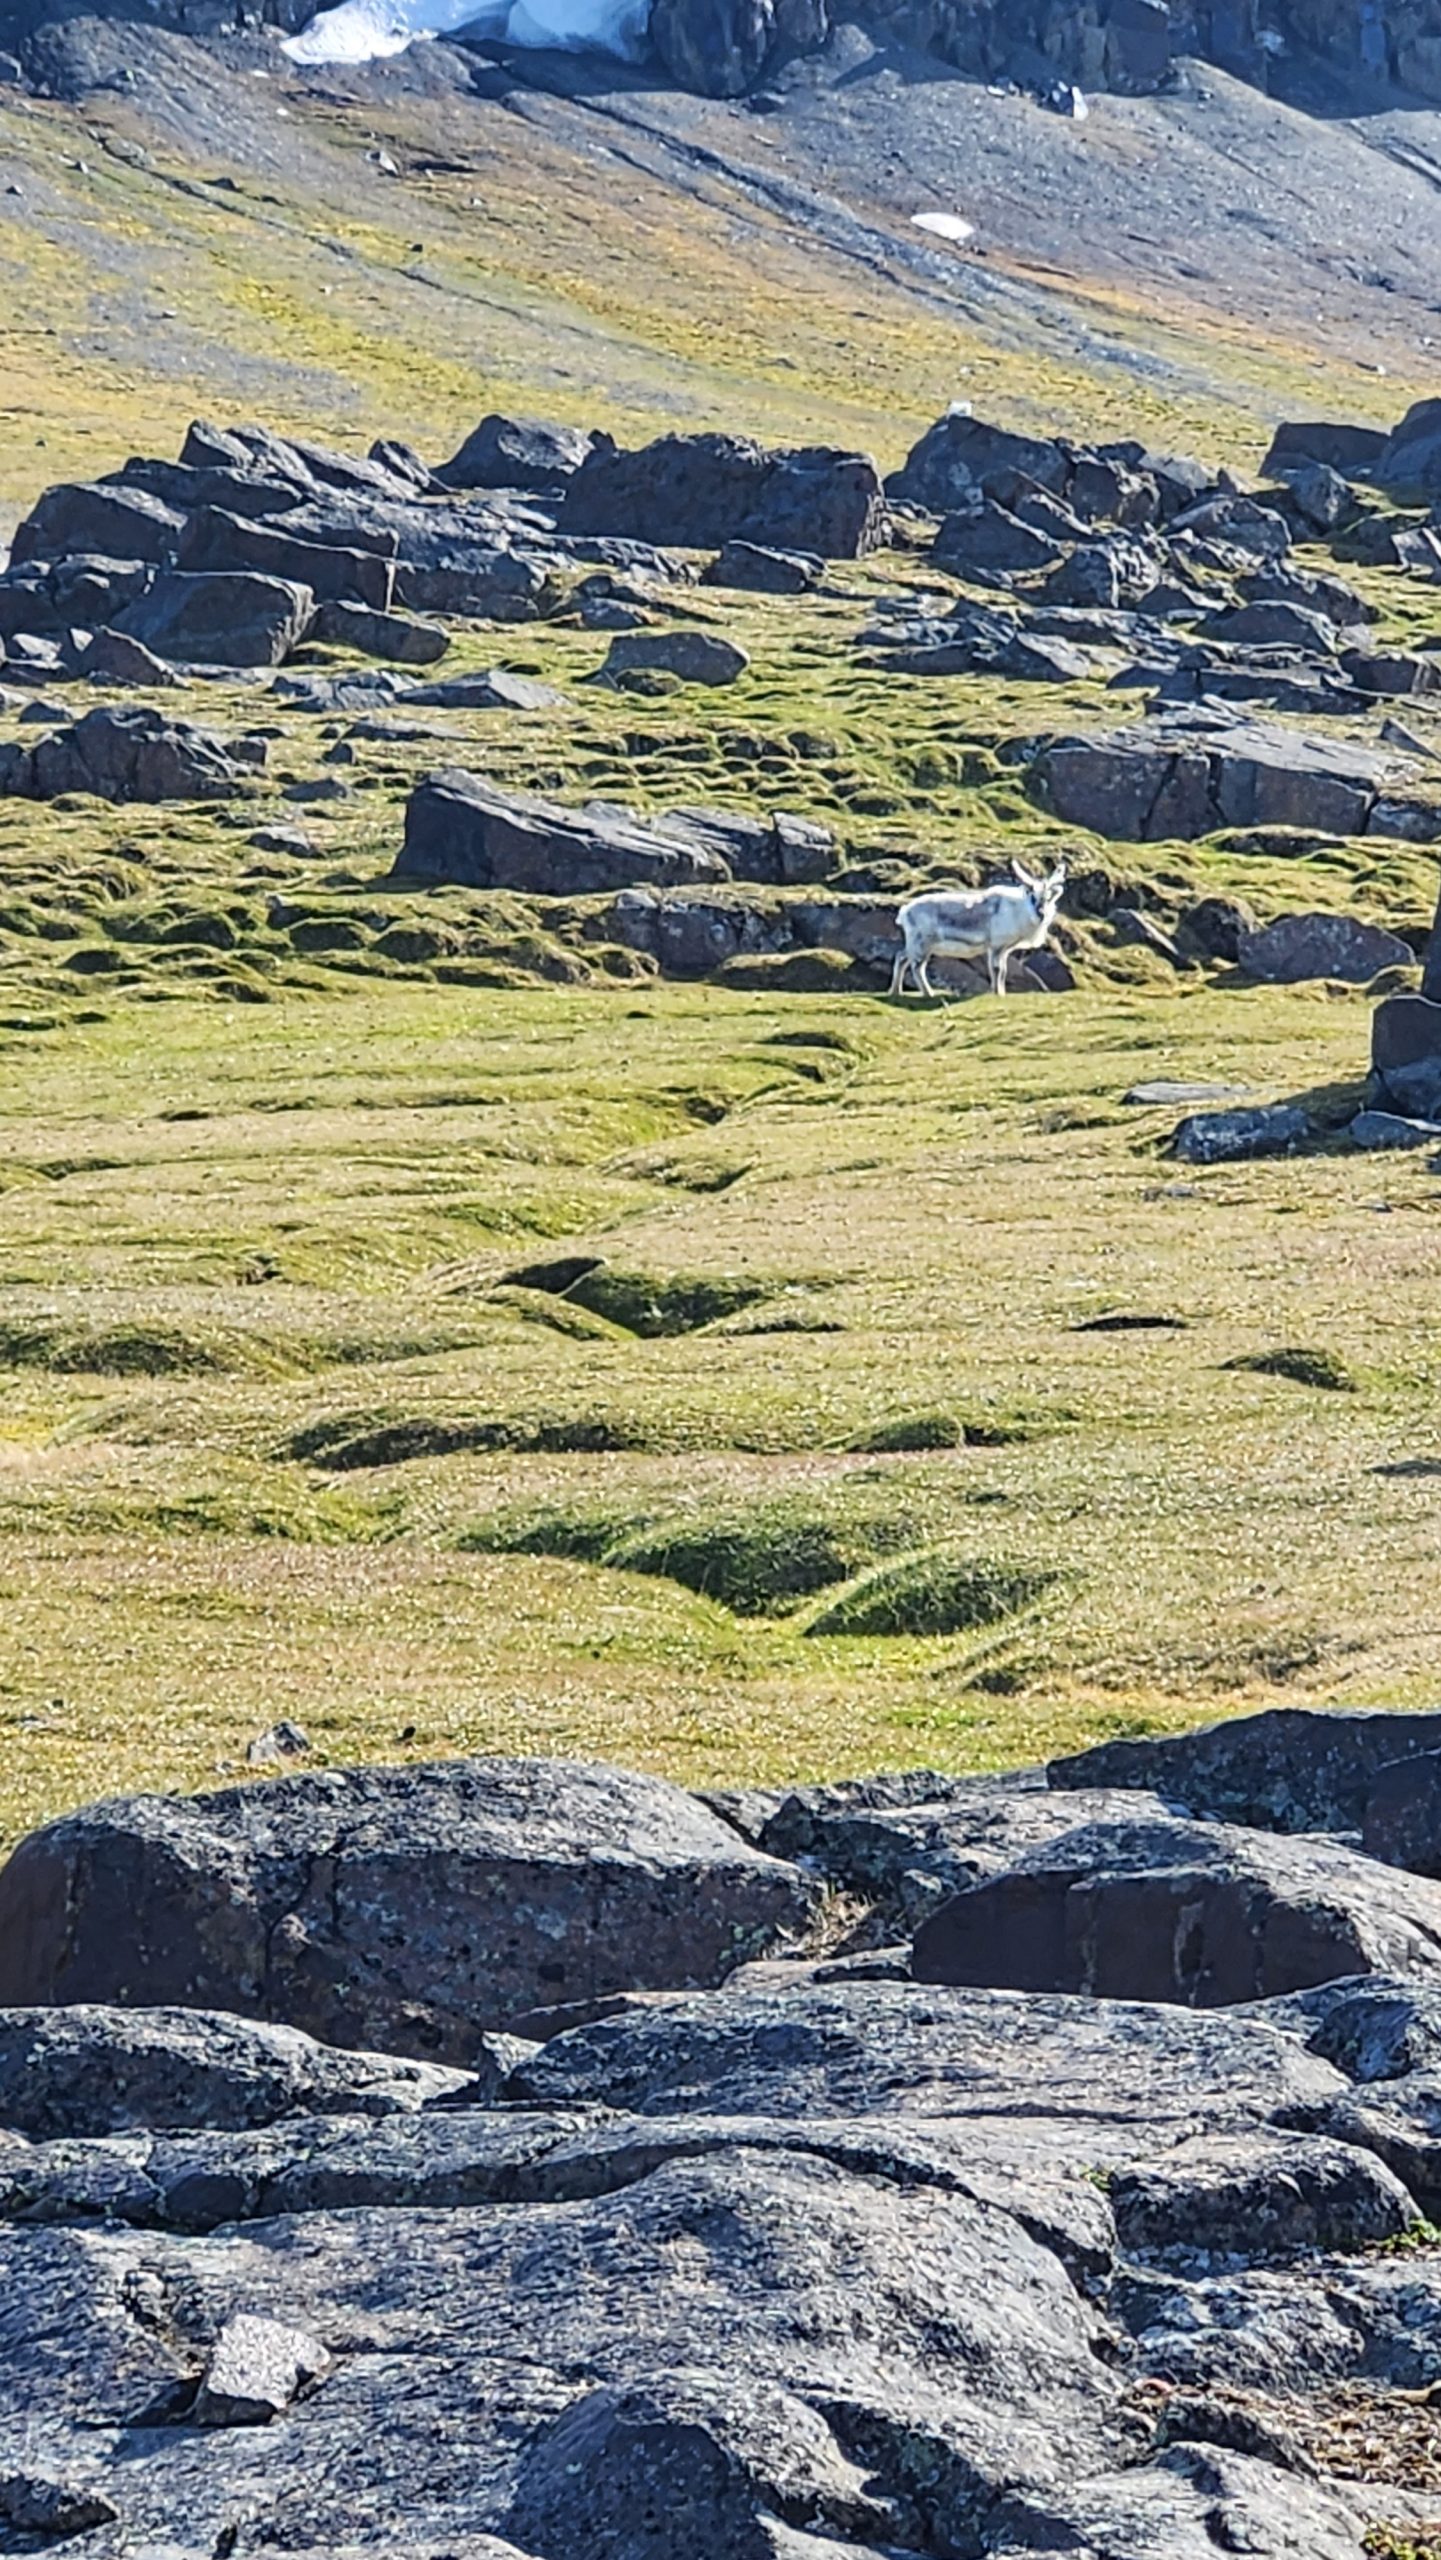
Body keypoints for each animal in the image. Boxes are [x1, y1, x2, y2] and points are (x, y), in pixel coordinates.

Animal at [889, 859, 1068, 1000]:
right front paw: (996, 993)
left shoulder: (1004, 949)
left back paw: (897, 991)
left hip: (915, 945)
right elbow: (997, 969)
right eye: (1032, 896)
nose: (1041, 913)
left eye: (1048, 898)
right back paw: (928, 993)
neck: (1018, 912)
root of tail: (904, 912)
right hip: (922, 944)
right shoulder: (996, 945)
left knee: (901, 957)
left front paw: (1001, 992)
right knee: (916, 967)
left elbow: (1003, 971)